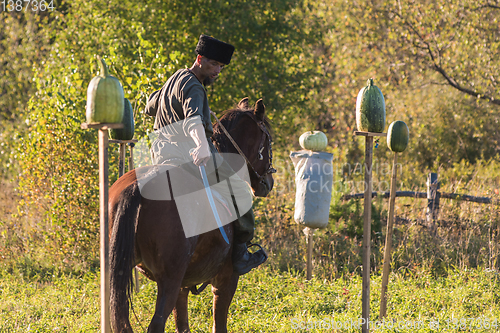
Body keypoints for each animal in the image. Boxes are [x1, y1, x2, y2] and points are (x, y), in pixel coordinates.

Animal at [107, 97, 276, 330]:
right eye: (268, 140)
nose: (269, 182)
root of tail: (139, 186)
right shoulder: (226, 280)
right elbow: (219, 324)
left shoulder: (182, 287)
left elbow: (183, 325)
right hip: (169, 279)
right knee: (156, 323)